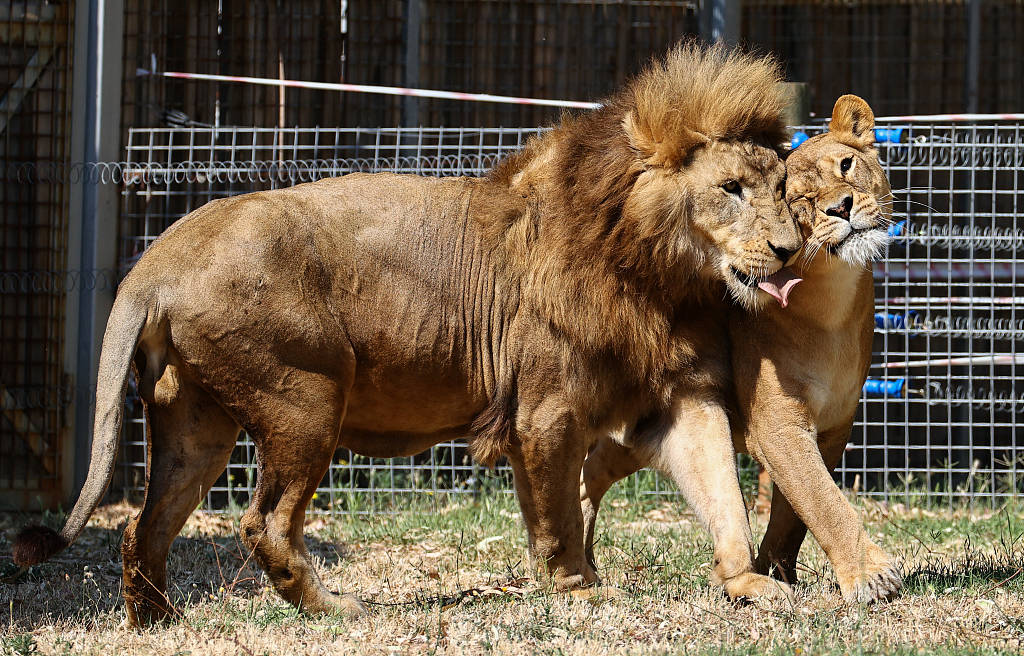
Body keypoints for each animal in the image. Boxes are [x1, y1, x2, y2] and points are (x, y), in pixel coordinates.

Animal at [14, 43, 798, 622]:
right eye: (730, 188)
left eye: (783, 188)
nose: (790, 250)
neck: (659, 272)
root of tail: (157, 258)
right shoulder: (547, 411)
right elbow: (559, 517)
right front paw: (579, 592)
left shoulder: (678, 396)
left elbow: (721, 494)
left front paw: (751, 585)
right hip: (306, 397)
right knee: (265, 523)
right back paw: (334, 609)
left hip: (195, 421)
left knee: (143, 529)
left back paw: (160, 623)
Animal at [581, 93, 901, 605]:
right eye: (800, 201)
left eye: (846, 165)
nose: (842, 207)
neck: (832, 304)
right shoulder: (777, 427)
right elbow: (823, 501)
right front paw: (870, 576)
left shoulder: (833, 426)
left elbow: (795, 514)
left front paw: (777, 570)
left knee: (591, 474)